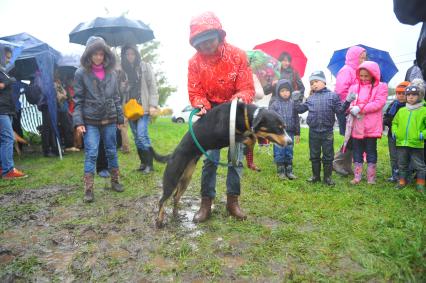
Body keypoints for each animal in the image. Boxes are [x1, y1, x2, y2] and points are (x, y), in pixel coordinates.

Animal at [153, 102, 292, 229]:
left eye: (284, 127)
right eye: (278, 128)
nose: (290, 142)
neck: (243, 115)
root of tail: (171, 155)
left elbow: (251, 137)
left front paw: (250, 156)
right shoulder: (223, 136)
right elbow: (249, 138)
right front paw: (249, 148)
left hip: (185, 180)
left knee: (176, 197)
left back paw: (176, 214)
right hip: (172, 179)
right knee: (162, 200)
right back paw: (159, 221)